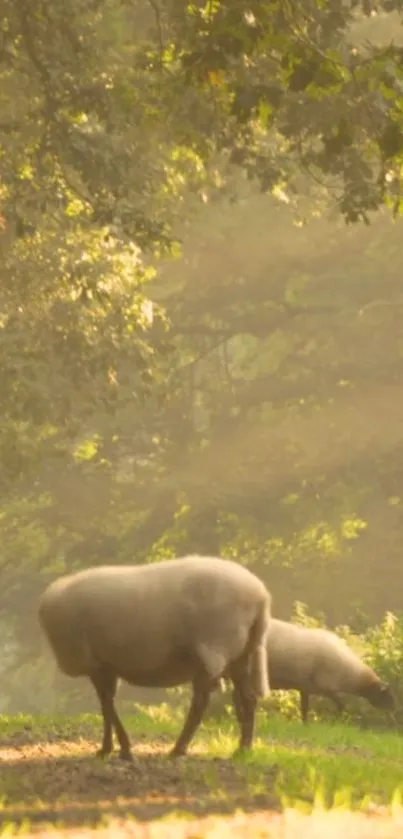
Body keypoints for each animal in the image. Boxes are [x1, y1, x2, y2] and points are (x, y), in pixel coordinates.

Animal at [38, 556, 272, 760]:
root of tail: (260, 596)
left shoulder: (97, 663)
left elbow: (107, 704)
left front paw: (122, 749)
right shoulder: (106, 664)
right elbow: (106, 704)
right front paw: (108, 748)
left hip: (213, 647)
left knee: (200, 702)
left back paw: (179, 749)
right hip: (241, 654)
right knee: (248, 698)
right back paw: (243, 748)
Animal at [221, 612, 394, 724]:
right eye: (386, 696)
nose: (394, 708)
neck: (350, 674)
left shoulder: (306, 687)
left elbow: (304, 707)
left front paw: (305, 723)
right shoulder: (325, 686)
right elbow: (340, 703)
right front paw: (338, 718)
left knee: (236, 696)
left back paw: (241, 718)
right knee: (237, 696)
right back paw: (241, 718)